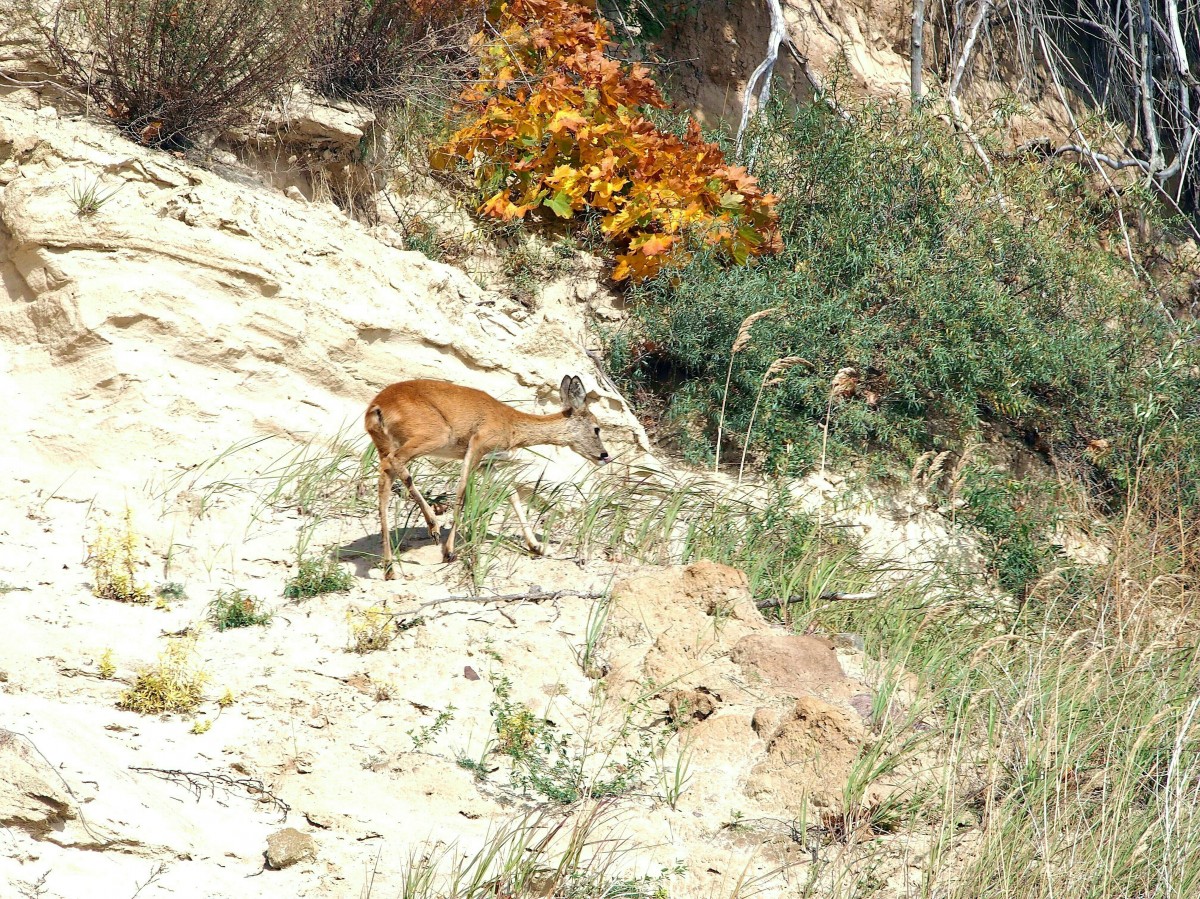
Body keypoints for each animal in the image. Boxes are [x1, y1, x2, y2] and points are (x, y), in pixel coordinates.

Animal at [362, 372, 609, 576]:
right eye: (596, 428)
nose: (604, 455)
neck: (511, 424)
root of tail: (376, 407)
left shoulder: (487, 464)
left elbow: (511, 494)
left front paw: (537, 546)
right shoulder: (478, 444)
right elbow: (462, 490)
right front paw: (449, 551)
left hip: (386, 444)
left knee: (384, 480)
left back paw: (390, 567)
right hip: (433, 435)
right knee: (393, 464)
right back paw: (432, 526)